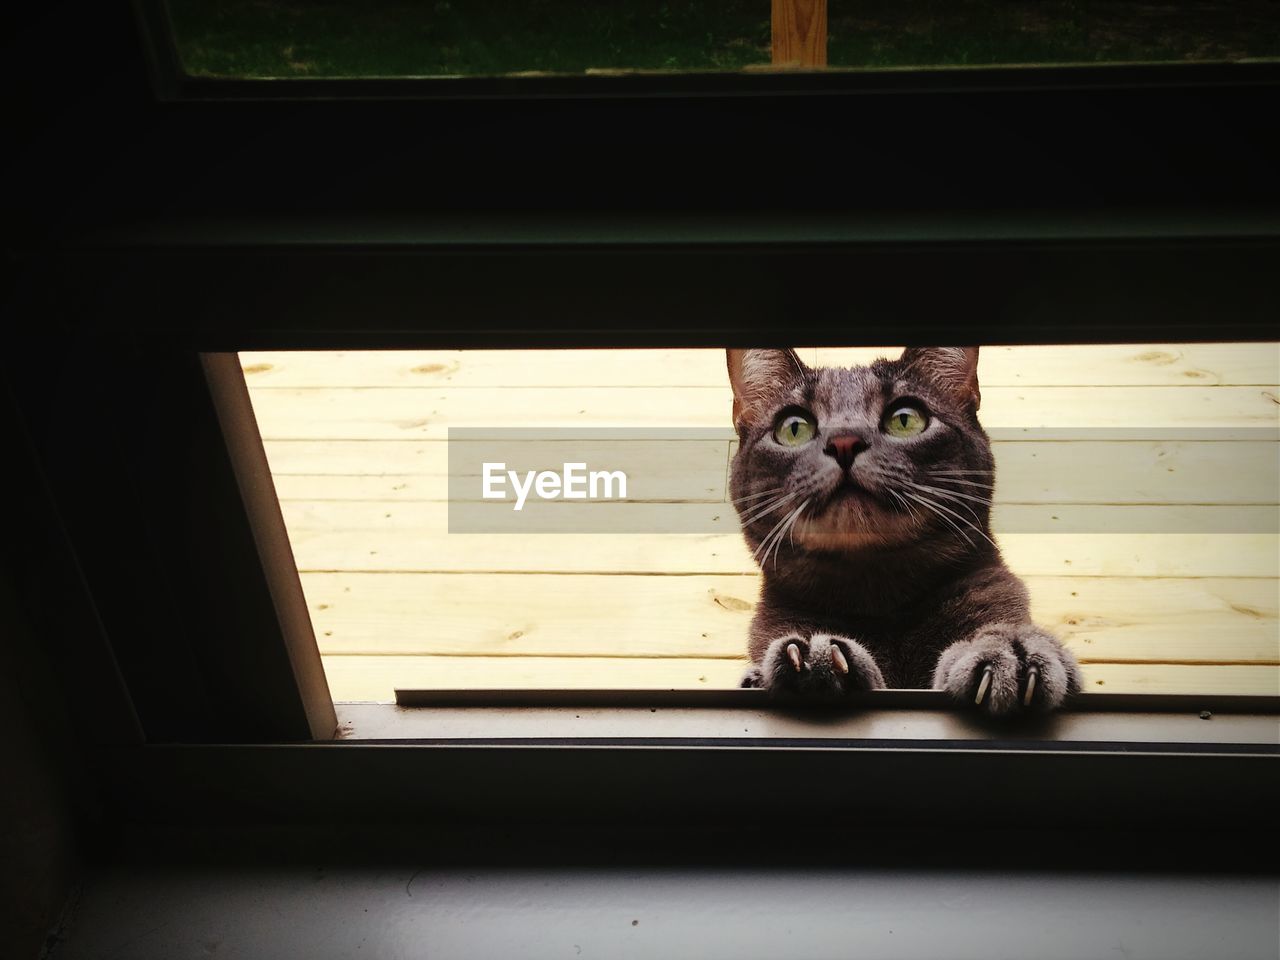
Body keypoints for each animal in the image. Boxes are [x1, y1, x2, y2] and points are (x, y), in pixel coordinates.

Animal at [732, 348, 1080, 716]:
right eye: (794, 428)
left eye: (905, 419)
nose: (844, 441)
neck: (878, 596)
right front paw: (811, 659)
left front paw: (1008, 650)